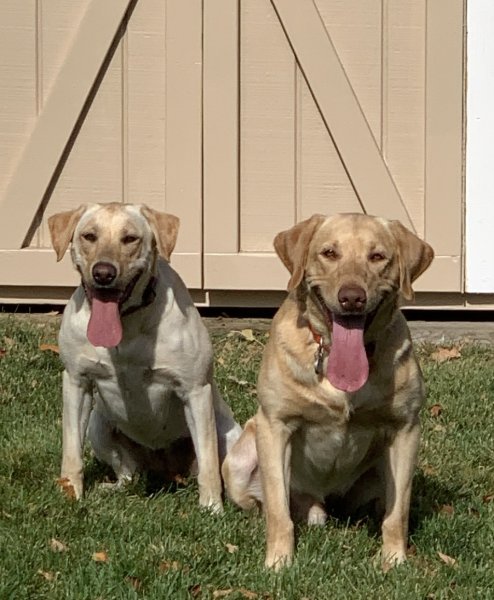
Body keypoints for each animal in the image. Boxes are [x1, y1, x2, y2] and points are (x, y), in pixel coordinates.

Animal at [48, 203, 241, 510]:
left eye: (130, 238)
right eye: (89, 236)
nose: (103, 273)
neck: (126, 325)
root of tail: (166, 471)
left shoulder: (195, 391)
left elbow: (209, 462)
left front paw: (212, 508)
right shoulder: (76, 382)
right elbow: (71, 451)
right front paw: (70, 494)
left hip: (229, 435)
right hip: (99, 426)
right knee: (128, 472)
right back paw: (113, 487)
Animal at [222, 213, 434, 568]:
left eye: (377, 256)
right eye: (329, 253)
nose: (352, 297)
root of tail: (321, 501)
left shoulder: (406, 428)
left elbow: (397, 513)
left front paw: (394, 560)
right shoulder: (275, 425)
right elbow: (278, 510)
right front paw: (279, 562)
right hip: (239, 460)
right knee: (267, 504)